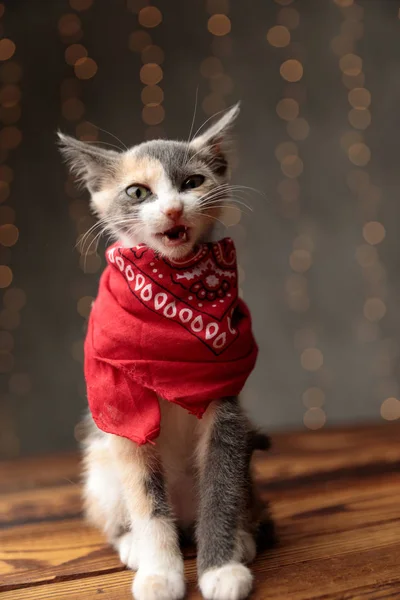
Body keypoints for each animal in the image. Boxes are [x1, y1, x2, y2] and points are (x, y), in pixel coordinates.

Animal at [57, 104, 274, 600]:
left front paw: (221, 568)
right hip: (100, 468)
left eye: (193, 182)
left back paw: (244, 534)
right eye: (138, 191)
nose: (173, 208)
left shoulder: (227, 412)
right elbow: (145, 496)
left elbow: (222, 486)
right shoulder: (124, 417)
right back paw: (132, 542)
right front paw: (159, 572)